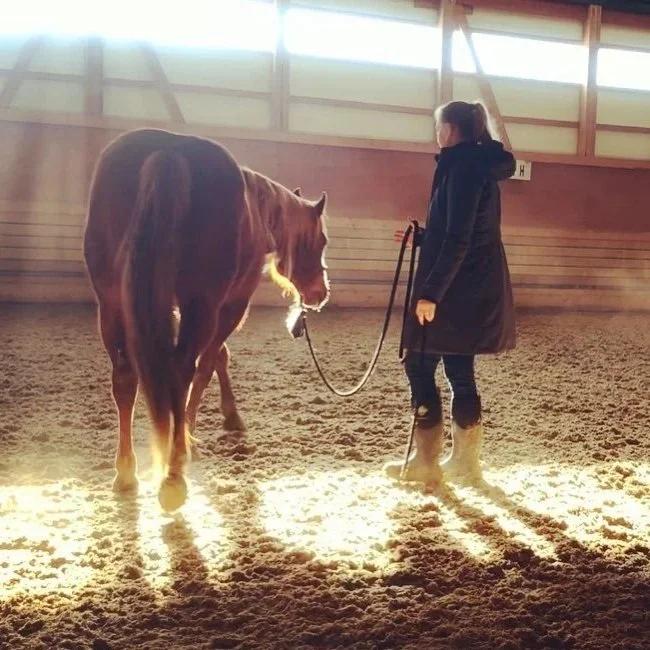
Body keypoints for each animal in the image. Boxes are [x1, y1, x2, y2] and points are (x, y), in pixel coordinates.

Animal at [83, 128, 330, 512]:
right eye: (320, 241)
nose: (321, 293)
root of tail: (168, 151)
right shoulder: (230, 306)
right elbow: (210, 362)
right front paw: (194, 431)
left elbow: (217, 359)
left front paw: (224, 417)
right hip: (199, 306)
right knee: (180, 370)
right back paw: (173, 475)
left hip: (111, 305)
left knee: (125, 379)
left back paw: (126, 472)